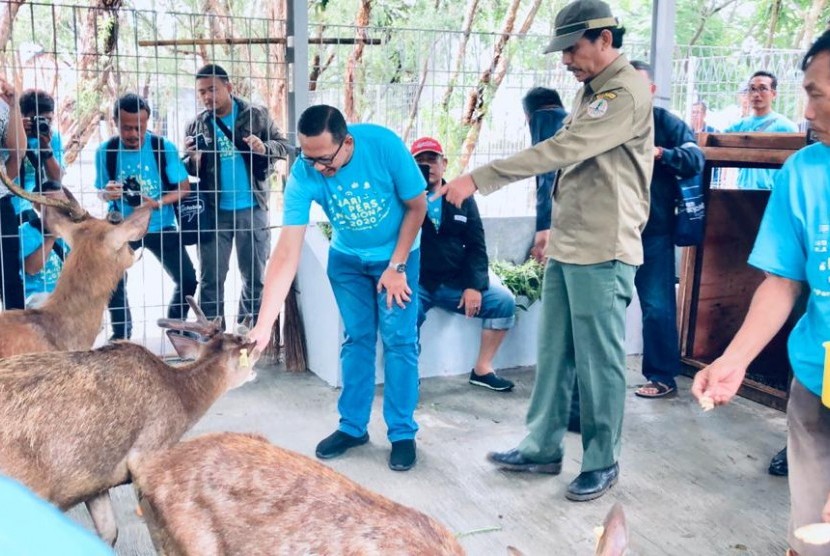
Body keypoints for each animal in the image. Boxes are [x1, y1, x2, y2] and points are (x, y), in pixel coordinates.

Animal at [0, 298, 256, 544]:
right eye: (244, 344)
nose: (254, 368)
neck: (181, 399)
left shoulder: (95, 477)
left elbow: (108, 532)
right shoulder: (147, 454)